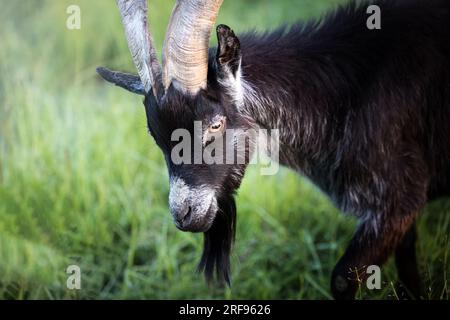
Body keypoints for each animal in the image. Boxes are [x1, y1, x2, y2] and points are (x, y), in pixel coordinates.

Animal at [98, 0, 450, 300]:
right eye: (155, 136)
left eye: (215, 124)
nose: (184, 215)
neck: (345, 94)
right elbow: (408, 270)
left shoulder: (396, 202)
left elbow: (342, 278)